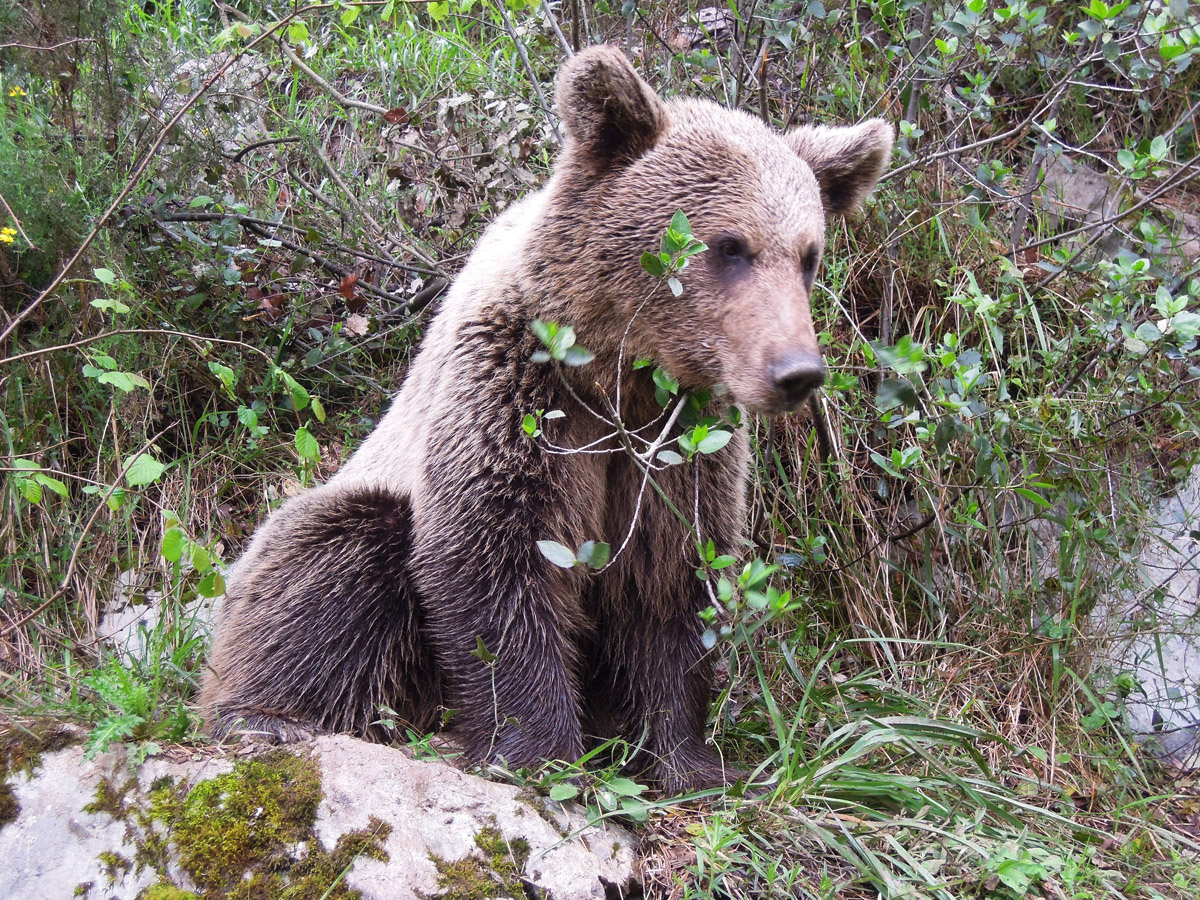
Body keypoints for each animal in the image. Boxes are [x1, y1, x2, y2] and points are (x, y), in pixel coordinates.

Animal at [199, 47, 892, 796]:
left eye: (808, 255)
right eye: (730, 246)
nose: (797, 372)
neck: (617, 373)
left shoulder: (680, 443)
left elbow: (670, 579)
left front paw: (688, 758)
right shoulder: (519, 395)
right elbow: (494, 558)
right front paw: (542, 752)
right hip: (336, 518)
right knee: (330, 562)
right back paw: (268, 716)